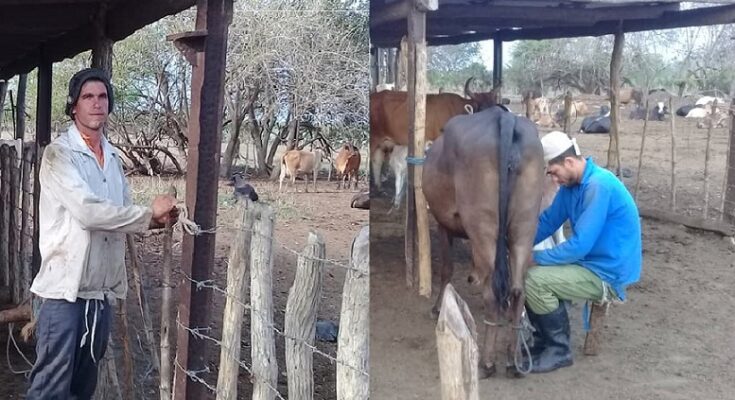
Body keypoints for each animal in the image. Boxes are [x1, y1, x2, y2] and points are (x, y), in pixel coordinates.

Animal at [420, 104, 548, 380]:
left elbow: (446, 269)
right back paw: (512, 360)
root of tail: (505, 118)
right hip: (524, 225)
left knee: (492, 294)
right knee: (517, 289)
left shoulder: (443, 224)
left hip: (483, 225)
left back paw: (487, 362)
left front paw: (437, 307)